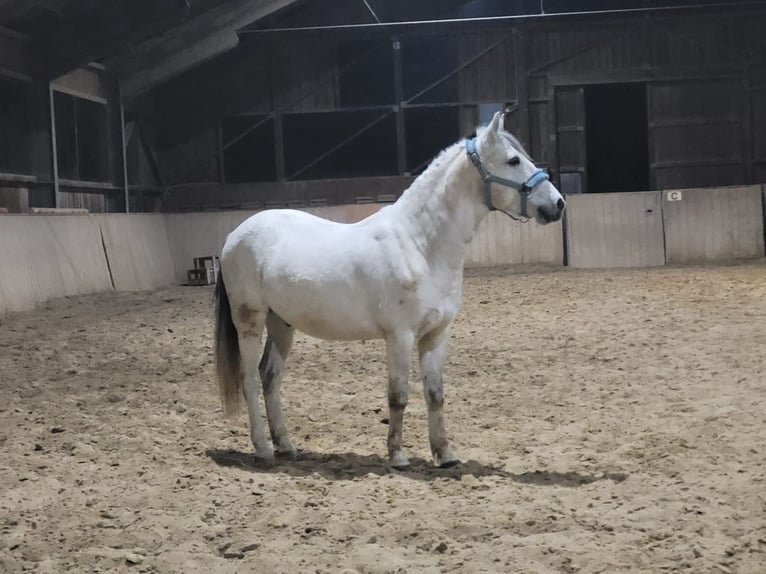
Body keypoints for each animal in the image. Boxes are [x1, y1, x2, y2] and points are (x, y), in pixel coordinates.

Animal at [213, 111, 565, 470]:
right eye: (513, 160)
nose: (558, 204)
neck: (420, 245)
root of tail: (233, 236)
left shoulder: (436, 335)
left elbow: (435, 395)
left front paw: (445, 455)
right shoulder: (400, 336)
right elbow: (398, 396)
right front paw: (397, 456)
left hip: (282, 324)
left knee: (270, 377)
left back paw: (286, 446)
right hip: (250, 322)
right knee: (249, 379)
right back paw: (263, 449)